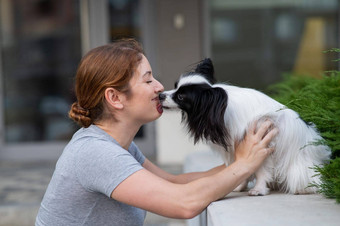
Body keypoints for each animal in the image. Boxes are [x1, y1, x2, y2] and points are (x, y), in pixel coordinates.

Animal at [161, 58, 330, 196]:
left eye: (180, 97)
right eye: (175, 87)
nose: (161, 95)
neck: (222, 111)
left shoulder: (265, 144)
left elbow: (260, 171)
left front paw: (259, 189)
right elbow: (242, 168)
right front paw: (239, 186)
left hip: (298, 168)